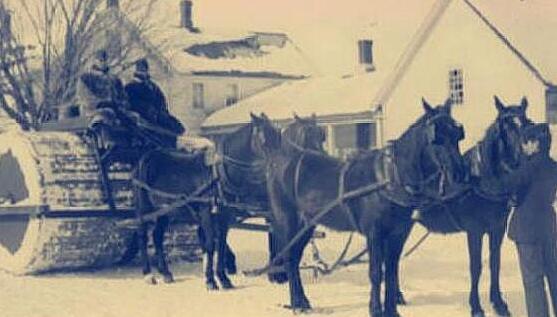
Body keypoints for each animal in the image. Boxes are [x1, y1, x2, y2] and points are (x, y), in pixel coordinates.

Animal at [254, 97, 466, 314]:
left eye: (457, 134)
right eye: (436, 138)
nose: (460, 173)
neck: (390, 178)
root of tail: (279, 161)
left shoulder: (398, 234)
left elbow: (391, 272)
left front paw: (392, 310)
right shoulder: (374, 233)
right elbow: (376, 273)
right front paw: (375, 309)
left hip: (307, 225)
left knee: (295, 258)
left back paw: (301, 301)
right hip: (288, 220)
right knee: (289, 258)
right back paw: (297, 303)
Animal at [414, 96, 536, 316]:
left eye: (526, 121)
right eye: (504, 125)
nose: (517, 160)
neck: (481, 179)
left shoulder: (497, 228)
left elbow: (494, 263)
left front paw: (499, 303)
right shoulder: (475, 231)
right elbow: (476, 266)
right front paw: (476, 306)